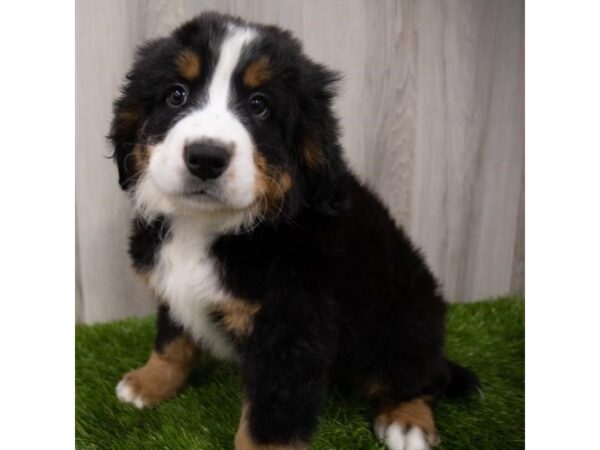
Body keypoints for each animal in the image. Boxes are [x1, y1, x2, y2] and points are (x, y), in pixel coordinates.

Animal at [109, 12, 478, 450]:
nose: (205, 157)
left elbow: (270, 417)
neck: (208, 225)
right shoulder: (173, 289)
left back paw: (407, 420)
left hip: (402, 317)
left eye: (260, 106)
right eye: (176, 95)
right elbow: (171, 341)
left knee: (422, 377)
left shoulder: (290, 327)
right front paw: (149, 382)